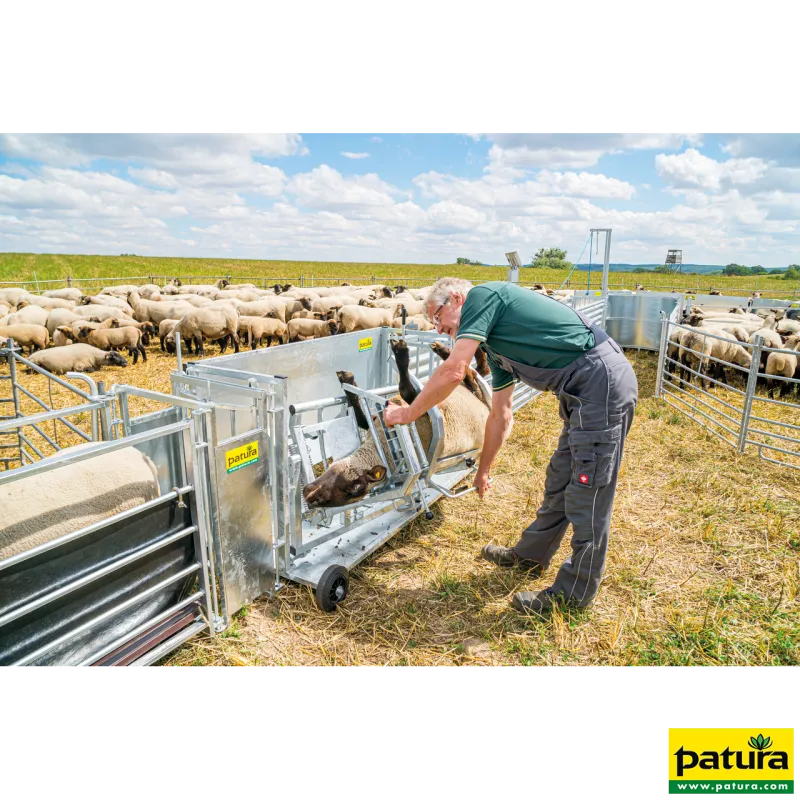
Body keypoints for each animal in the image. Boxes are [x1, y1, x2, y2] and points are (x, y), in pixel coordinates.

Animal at [302, 338, 488, 508]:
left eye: (353, 489)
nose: (311, 500)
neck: (386, 445)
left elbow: (405, 391)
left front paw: (400, 351)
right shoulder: (374, 421)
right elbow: (361, 418)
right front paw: (348, 382)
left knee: (473, 375)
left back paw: (445, 351)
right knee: (474, 374)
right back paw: (446, 351)